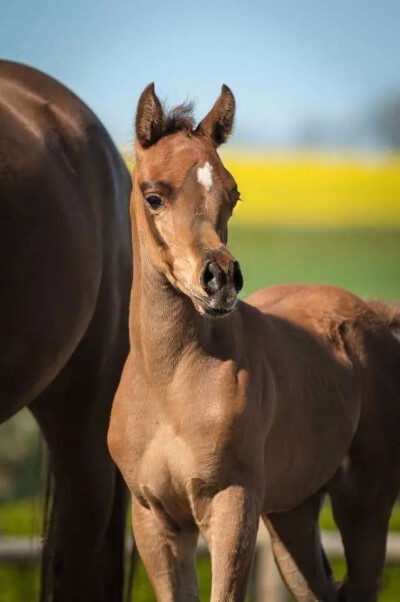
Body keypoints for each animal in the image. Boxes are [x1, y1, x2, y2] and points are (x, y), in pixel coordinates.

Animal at [109, 83, 400, 600]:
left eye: (233, 194)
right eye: (154, 196)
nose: (220, 279)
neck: (170, 384)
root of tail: (377, 316)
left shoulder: (232, 506)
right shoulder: (155, 520)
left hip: (365, 503)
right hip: (292, 514)